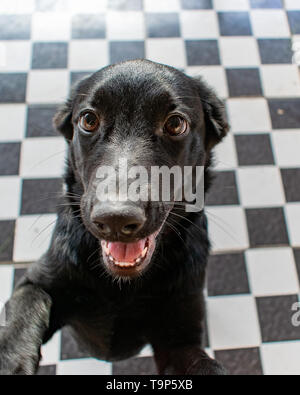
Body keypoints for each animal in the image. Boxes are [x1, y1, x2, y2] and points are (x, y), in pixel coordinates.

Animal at [0, 60, 229, 376]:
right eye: (88, 120)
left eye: (175, 124)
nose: (116, 220)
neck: (121, 287)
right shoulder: (39, 281)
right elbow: (26, 307)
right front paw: (11, 361)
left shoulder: (179, 336)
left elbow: (205, 364)